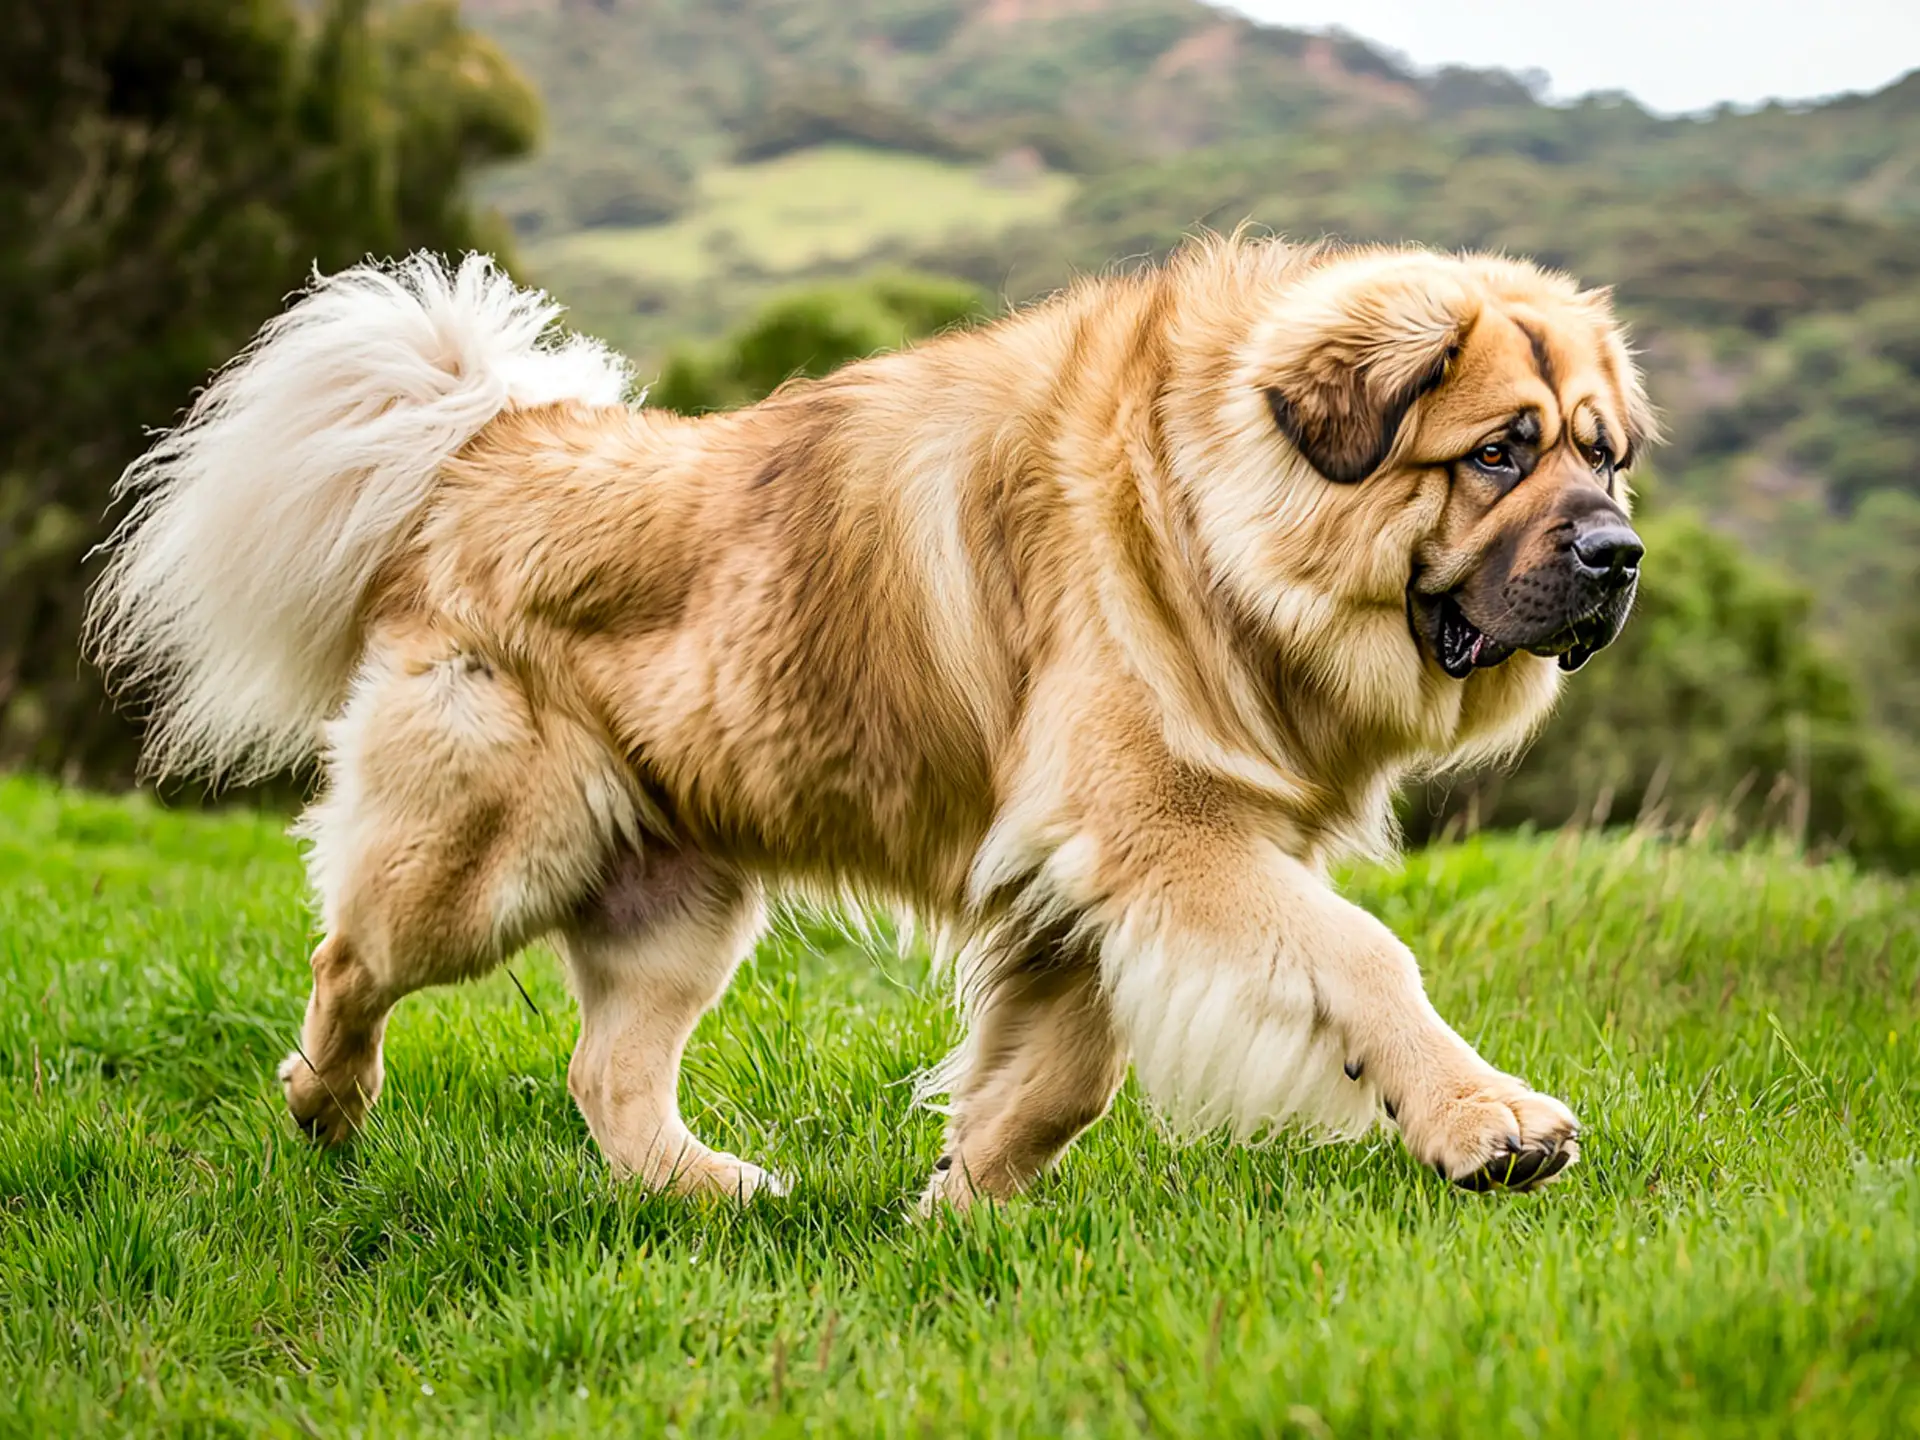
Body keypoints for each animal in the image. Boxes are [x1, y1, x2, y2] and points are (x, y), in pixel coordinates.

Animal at [90, 237, 1651, 1205]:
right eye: (1498, 452)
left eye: (1603, 454)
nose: (1620, 556)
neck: (1200, 509)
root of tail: (492, 446)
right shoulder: (1164, 835)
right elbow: (1367, 960)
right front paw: (1487, 1122)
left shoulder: (1081, 886)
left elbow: (1058, 1081)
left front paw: (957, 1207)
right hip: (485, 858)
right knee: (351, 959)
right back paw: (326, 1104)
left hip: (682, 898)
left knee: (609, 1075)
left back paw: (717, 1194)